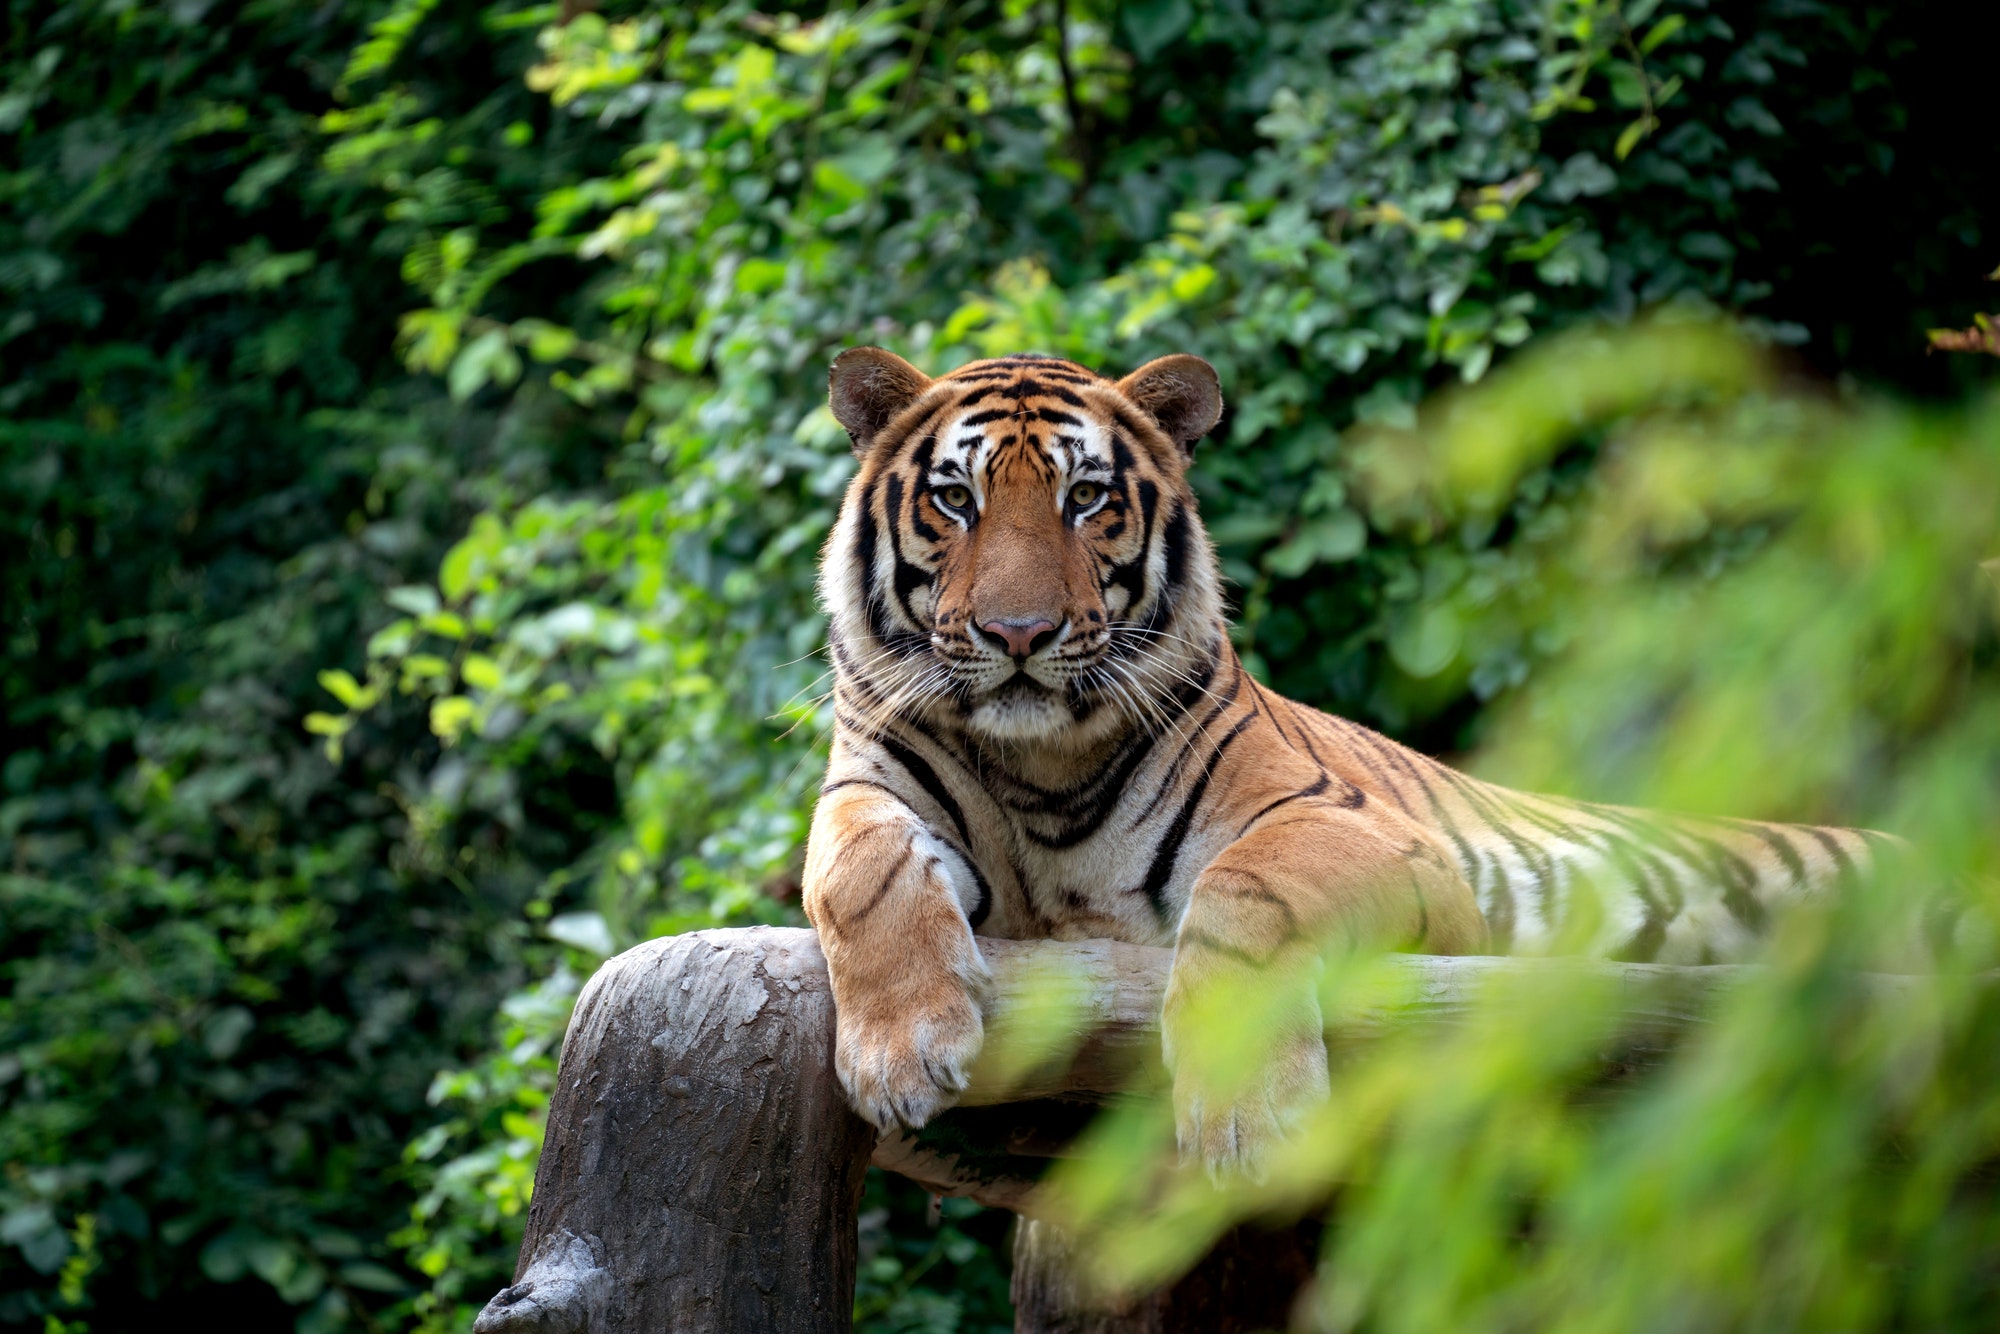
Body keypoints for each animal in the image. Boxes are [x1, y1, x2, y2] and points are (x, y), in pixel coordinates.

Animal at [801, 345, 1883, 1173]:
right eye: (955, 499)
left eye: (1087, 497)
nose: (1018, 633)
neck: (1038, 768)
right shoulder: (866, 785)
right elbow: (857, 872)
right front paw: (902, 1054)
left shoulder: (1369, 833)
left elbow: (1243, 890)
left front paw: (1247, 1121)